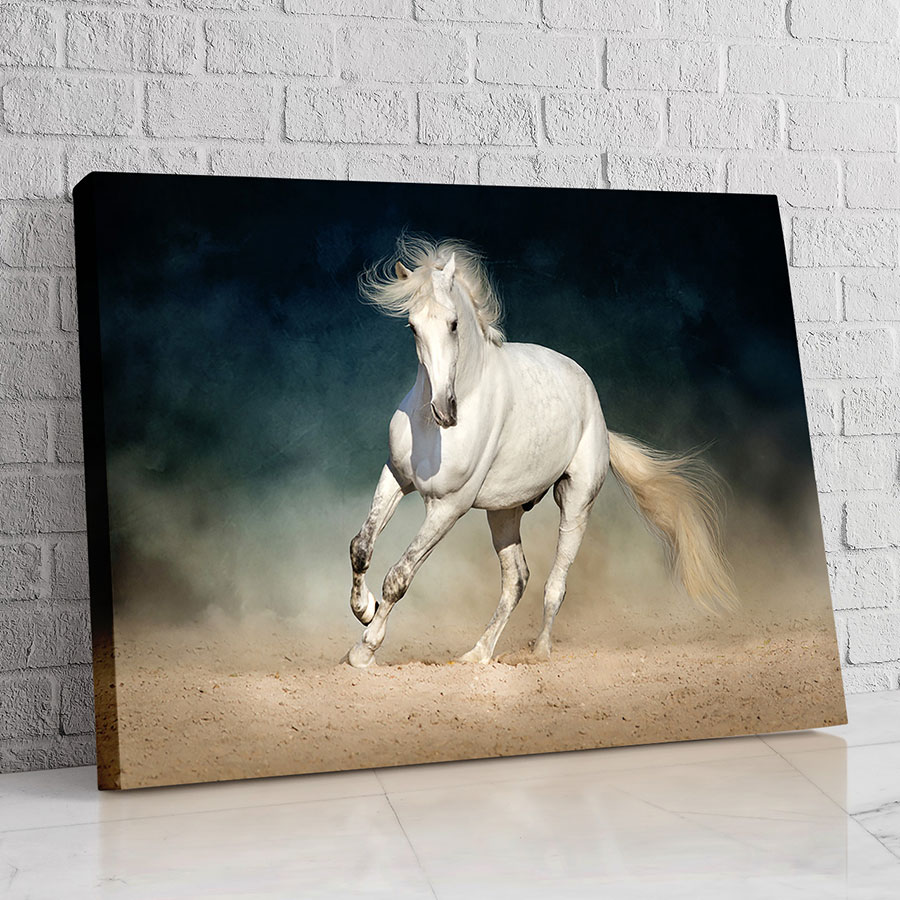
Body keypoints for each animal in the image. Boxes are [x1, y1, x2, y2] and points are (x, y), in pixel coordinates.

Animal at [346, 235, 738, 669]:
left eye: (453, 324)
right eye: (412, 326)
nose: (445, 411)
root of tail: (597, 412)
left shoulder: (448, 506)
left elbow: (399, 576)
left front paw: (364, 649)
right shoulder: (396, 477)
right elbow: (361, 547)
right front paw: (363, 608)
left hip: (575, 502)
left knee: (555, 583)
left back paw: (539, 653)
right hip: (503, 511)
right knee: (517, 578)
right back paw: (477, 655)